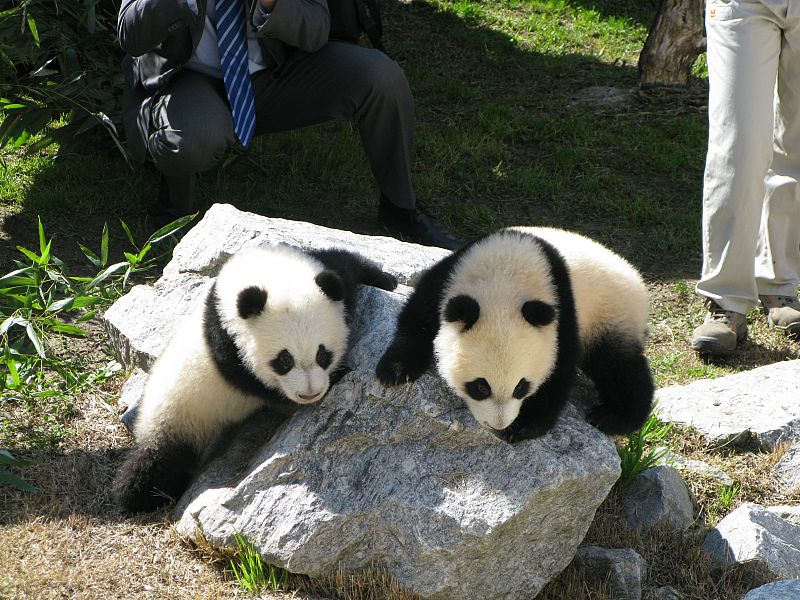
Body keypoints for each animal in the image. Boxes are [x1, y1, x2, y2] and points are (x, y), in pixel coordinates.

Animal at [113, 244, 397, 513]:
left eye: (322, 354)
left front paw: (386, 280)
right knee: (156, 463)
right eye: (284, 360)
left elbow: (344, 267)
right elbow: (259, 384)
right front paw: (338, 375)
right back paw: (135, 495)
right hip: (178, 417)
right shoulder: (228, 348)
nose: (310, 393)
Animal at [376, 226, 654, 442]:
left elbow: (558, 368)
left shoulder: (561, 312)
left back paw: (613, 417)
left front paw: (524, 426)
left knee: (618, 365)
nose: (498, 424)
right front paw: (395, 371)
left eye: (521, 387)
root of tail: (635, 276)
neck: (505, 278)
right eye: (481, 386)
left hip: (610, 312)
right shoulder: (449, 276)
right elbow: (418, 318)